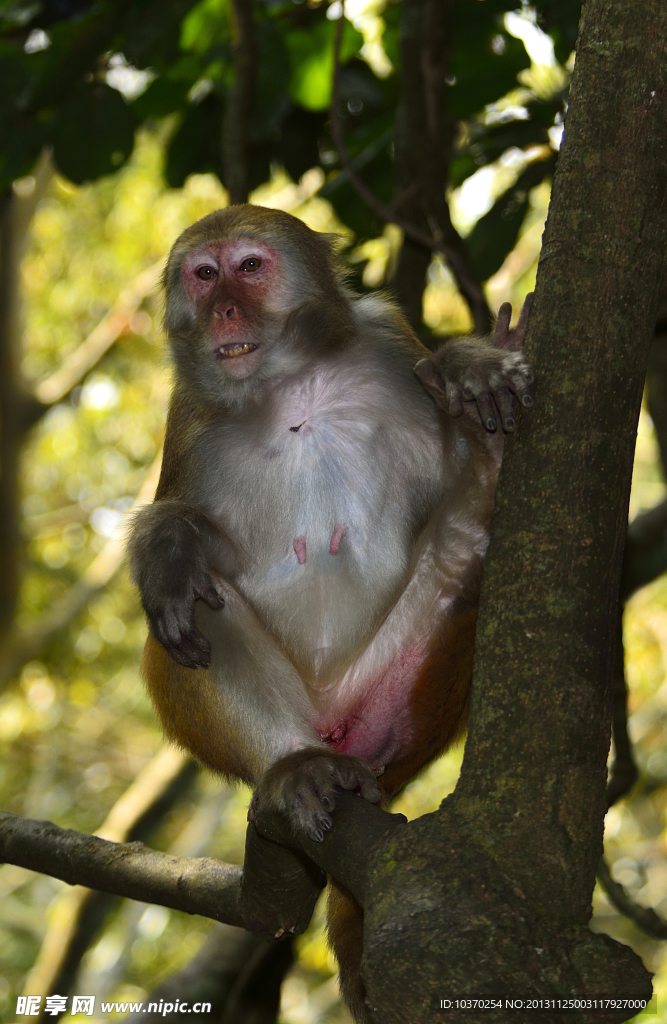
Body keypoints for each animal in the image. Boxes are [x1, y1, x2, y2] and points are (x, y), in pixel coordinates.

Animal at [129, 203, 532, 1019]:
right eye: (204, 273)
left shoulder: (386, 341)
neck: (291, 389)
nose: (223, 310)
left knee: (456, 560)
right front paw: (171, 545)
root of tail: (336, 721)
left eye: (250, 267)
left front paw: (466, 368)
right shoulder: (188, 417)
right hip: (298, 723)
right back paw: (295, 771)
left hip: (390, 700)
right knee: (190, 618)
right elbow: (193, 539)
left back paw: (485, 476)